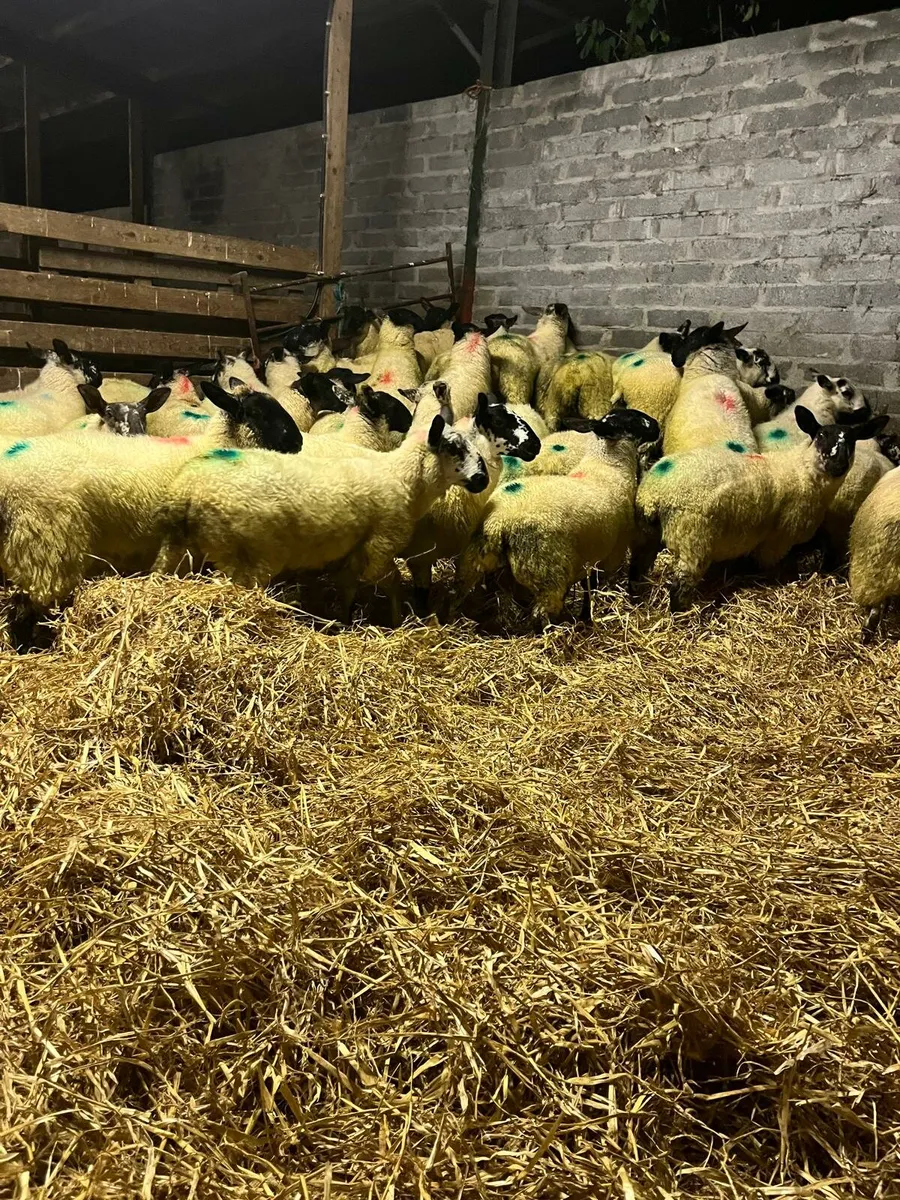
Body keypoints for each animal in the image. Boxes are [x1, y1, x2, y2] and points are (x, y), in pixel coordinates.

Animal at [154, 413, 490, 626]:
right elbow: (392, 583)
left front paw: (344, 620)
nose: (482, 479)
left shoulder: (354, 551)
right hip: (247, 555)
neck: (405, 480)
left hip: (179, 546)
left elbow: (348, 587)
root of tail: (187, 488)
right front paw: (398, 620)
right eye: (454, 448)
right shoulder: (379, 547)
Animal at [455, 409, 660, 630]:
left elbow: (587, 585)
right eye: (633, 420)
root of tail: (498, 523)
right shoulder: (613, 553)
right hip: (546, 572)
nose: (657, 426)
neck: (608, 465)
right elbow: (597, 584)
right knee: (540, 614)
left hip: (475, 559)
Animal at [636, 406, 888, 610]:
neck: (804, 472)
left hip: (651, 535)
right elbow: (769, 569)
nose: (837, 463)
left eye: (852, 440)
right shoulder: (777, 541)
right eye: (821, 435)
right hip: (693, 540)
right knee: (679, 589)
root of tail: (654, 492)